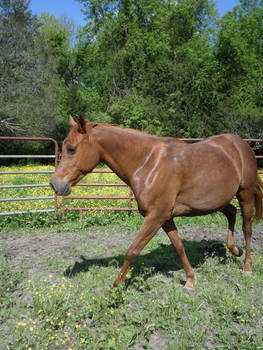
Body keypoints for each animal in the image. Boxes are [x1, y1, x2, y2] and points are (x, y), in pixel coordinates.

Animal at [50, 114, 263, 290]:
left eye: (71, 149)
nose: (55, 184)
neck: (147, 163)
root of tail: (241, 144)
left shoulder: (156, 216)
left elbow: (132, 251)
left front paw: (115, 290)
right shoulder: (165, 217)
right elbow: (178, 246)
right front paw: (190, 280)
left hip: (245, 194)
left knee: (247, 228)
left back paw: (247, 266)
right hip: (218, 200)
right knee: (231, 212)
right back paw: (234, 250)